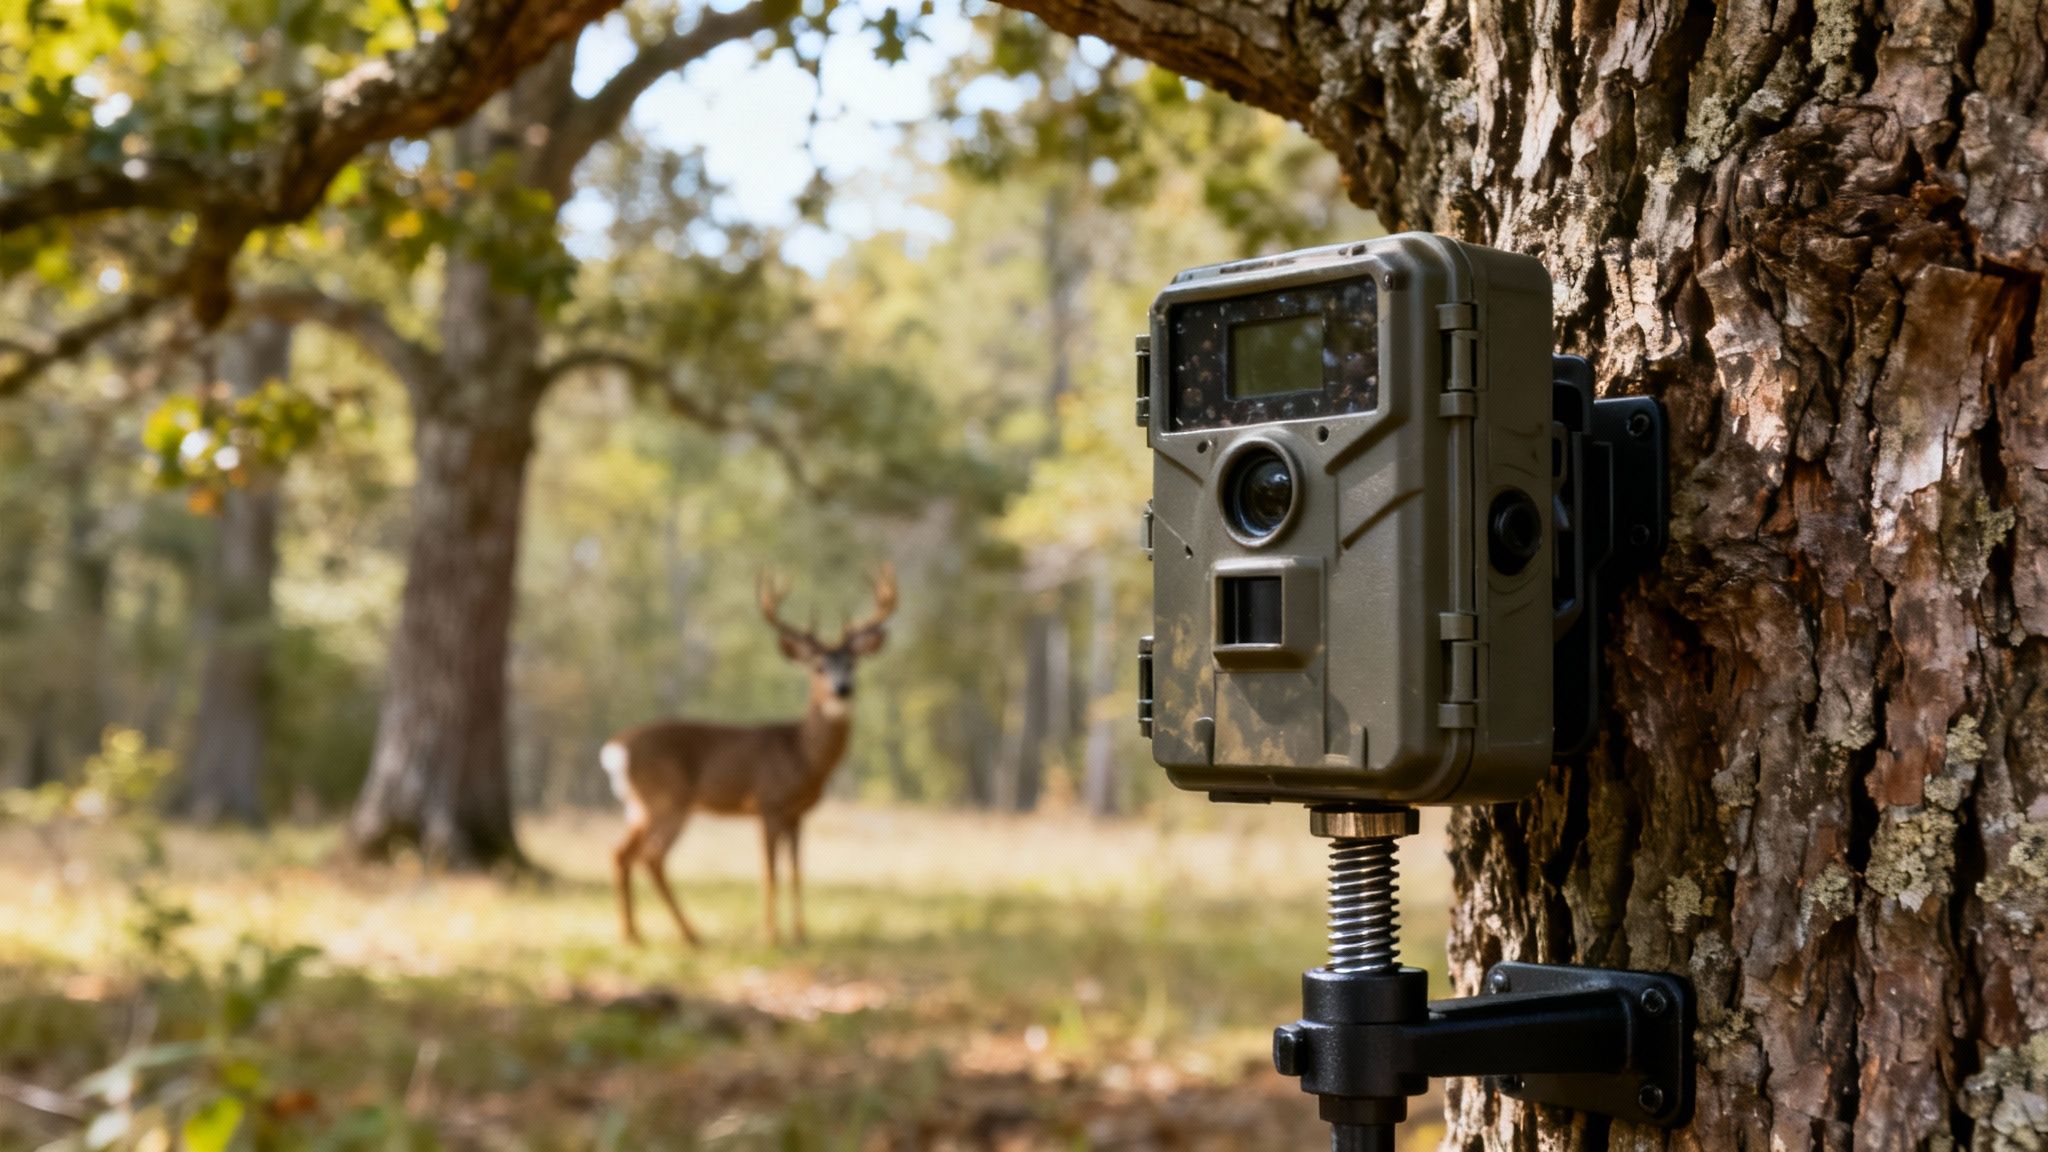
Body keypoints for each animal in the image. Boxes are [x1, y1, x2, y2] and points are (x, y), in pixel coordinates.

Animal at [600, 566, 896, 948]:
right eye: (818, 666)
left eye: (852, 662)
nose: (842, 689)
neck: (801, 753)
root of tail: (615, 747)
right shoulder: (767, 805)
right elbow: (769, 871)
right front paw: (770, 935)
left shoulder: (797, 814)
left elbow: (796, 871)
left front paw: (801, 934)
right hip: (665, 801)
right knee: (650, 857)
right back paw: (684, 933)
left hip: (639, 807)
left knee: (621, 854)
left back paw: (637, 933)